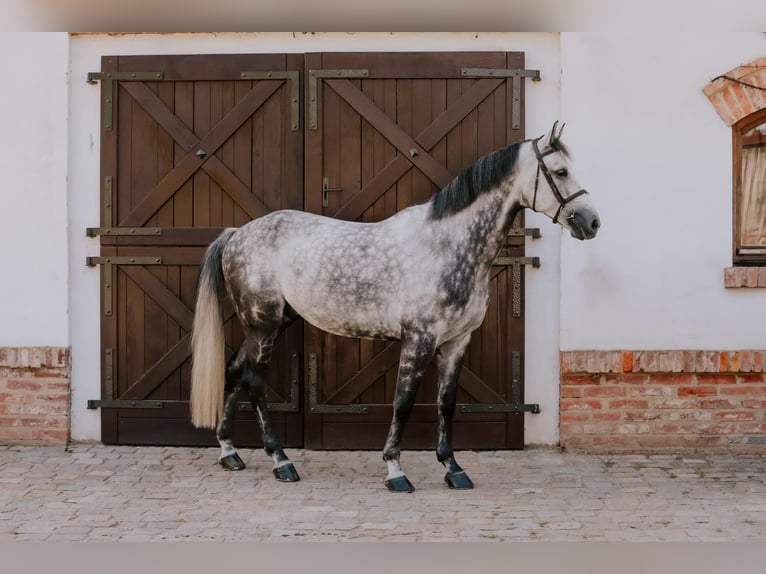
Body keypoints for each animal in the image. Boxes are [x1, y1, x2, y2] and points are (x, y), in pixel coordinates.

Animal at [190, 122, 600, 496]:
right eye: (560, 171)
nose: (592, 222)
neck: (446, 245)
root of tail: (237, 234)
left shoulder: (456, 342)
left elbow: (446, 404)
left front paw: (453, 469)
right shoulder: (419, 339)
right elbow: (403, 403)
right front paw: (395, 471)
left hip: (269, 325)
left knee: (235, 371)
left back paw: (229, 453)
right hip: (263, 325)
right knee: (255, 382)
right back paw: (281, 461)